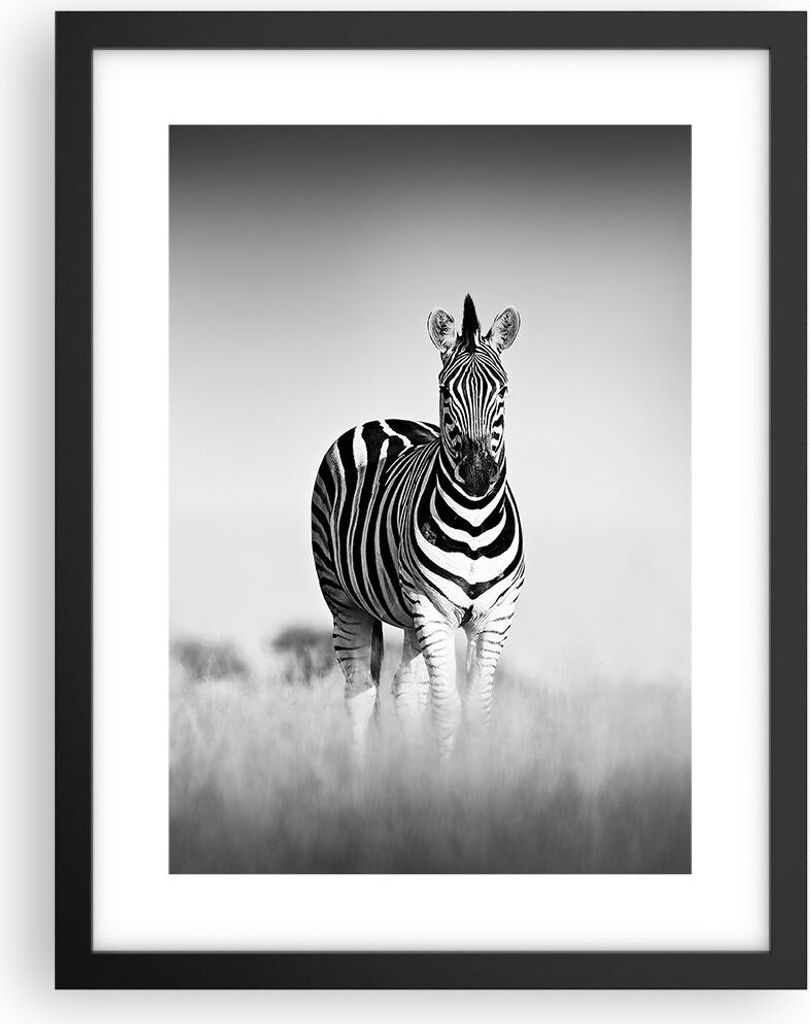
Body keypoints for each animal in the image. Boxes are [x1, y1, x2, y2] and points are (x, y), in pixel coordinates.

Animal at [311, 295, 524, 759]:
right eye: (445, 391)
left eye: (502, 390)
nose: (478, 475)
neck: (474, 522)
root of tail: (383, 419)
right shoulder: (432, 609)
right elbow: (446, 707)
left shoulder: (495, 616)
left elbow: (477, 708)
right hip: (344, 599)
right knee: (360, 691)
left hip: (409, 616)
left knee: (406, 691)